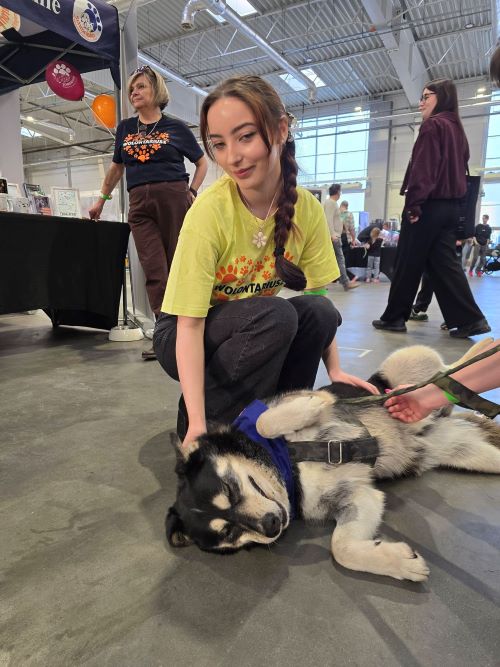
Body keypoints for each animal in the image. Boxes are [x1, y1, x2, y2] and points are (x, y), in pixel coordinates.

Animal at [166, 340, 500, 582]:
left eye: (230, 490)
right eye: (229, 533)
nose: (271, 525)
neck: (287, 465)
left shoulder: (297, 406)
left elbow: (265, 420)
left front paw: (308, 407)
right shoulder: (358, 497)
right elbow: (342, 549)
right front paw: (398, 563)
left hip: (406, 367)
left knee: (446, 371)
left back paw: (483, 348)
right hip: (465, 452)